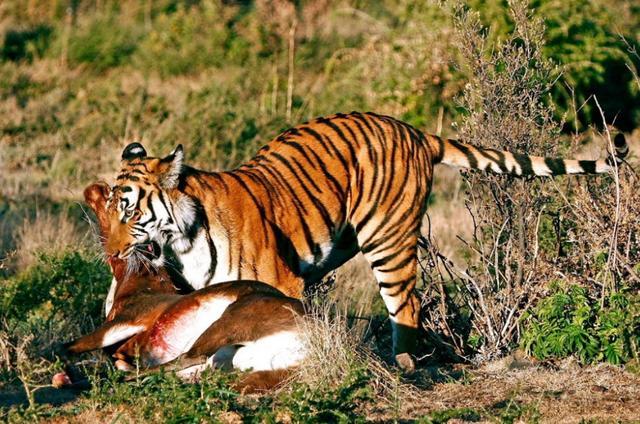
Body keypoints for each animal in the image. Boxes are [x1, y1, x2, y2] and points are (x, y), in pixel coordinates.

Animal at [102, 111, 628, 370]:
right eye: (105, 211)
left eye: (129, 211)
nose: (111, 251)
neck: (182, 243)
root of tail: (414, 130)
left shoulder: (279, 282)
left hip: (388, 241)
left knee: (407, 305)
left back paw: (404, 363)